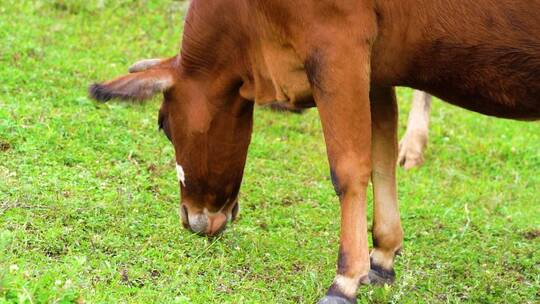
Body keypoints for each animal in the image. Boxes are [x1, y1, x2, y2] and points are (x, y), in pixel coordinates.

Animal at [87, 1, 540, 302]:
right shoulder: (374, 66)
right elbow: (380, 158)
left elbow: (348, 168)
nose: (190, 218)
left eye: (163, 125)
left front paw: (345, 280)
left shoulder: (337, 44)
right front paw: (382, 256)